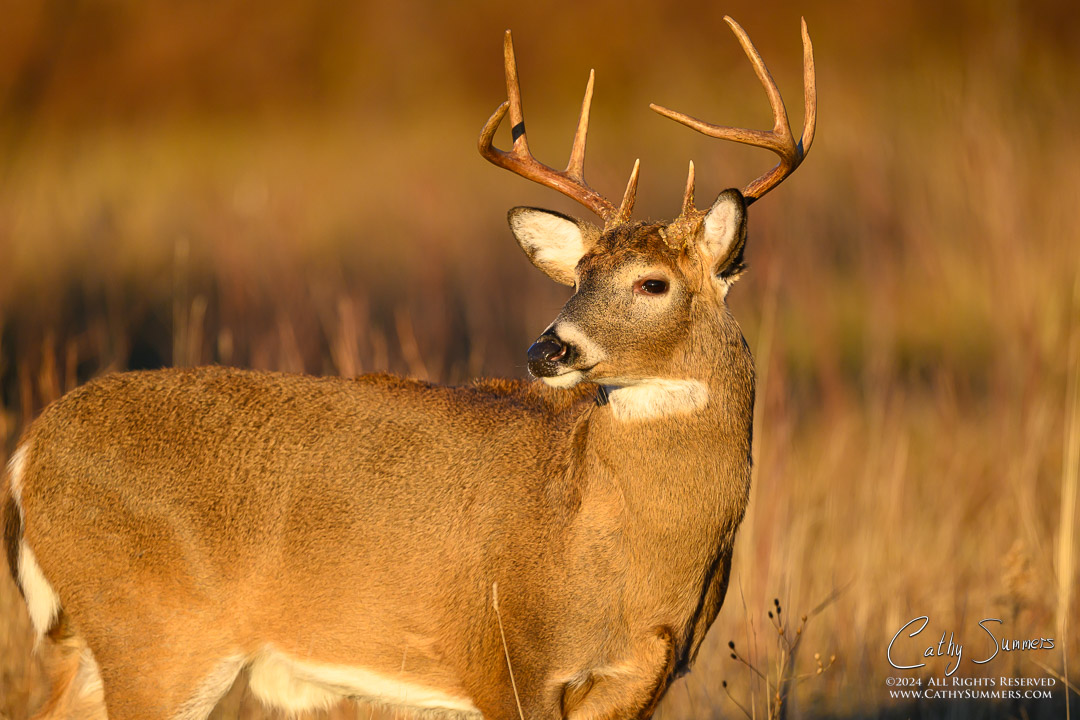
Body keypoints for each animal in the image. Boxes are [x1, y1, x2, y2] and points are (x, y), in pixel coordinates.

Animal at [1, 16, 815, 720]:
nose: (547, 349)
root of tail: (29, 451)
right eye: (579, 276)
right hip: (156, 632)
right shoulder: (509, 660)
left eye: (653, 283)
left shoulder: (644, 679)